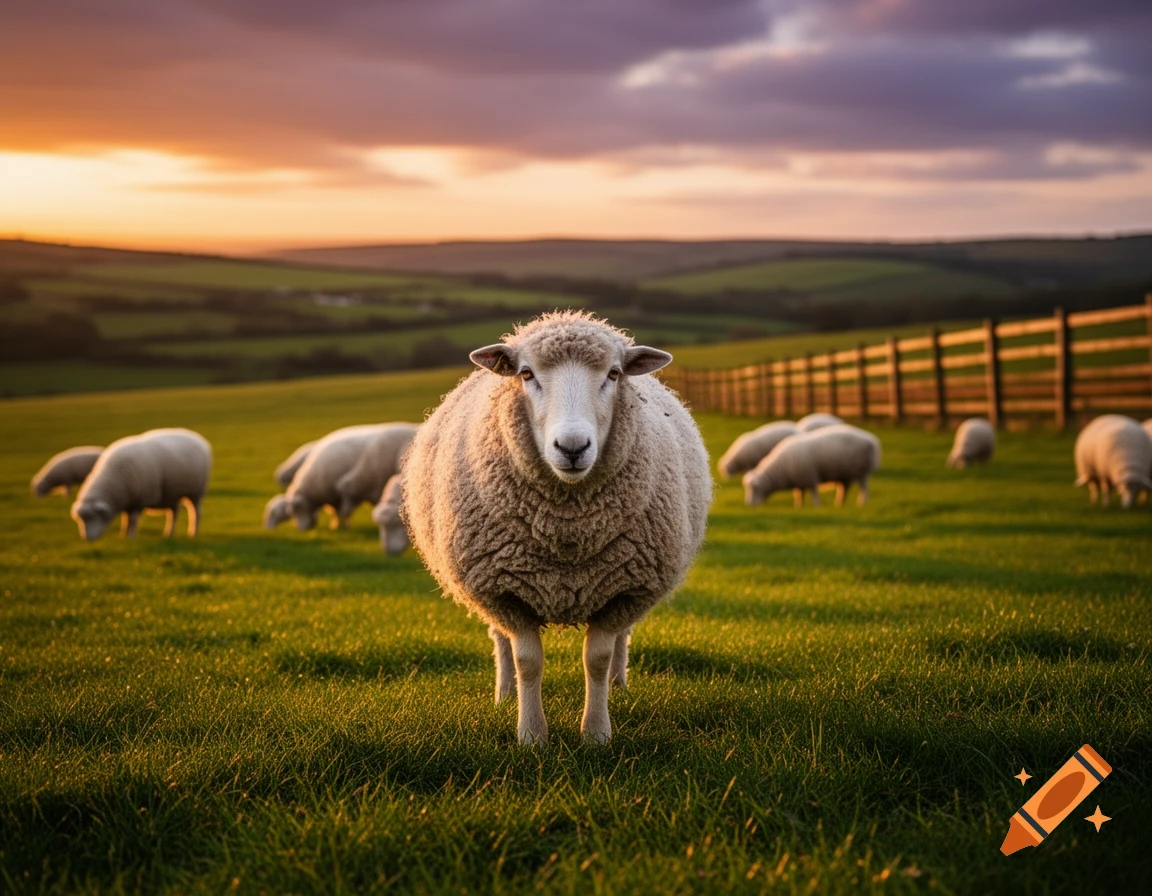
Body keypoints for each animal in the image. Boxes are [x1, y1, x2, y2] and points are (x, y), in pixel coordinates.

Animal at [70, 428, 211, 540]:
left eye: (92, 517)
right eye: (81, 519)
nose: (87, 538)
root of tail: (197, 437)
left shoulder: (139, 500)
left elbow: (132, 520)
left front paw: (131, 536)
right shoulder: (128, 500)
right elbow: (125, 519)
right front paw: (123, 535)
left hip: (196, 491)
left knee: (195, 513)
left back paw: (193, 532)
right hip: (173, 494)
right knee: (174, 514)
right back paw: (169, 533)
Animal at [264, 424, 394, 531]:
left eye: (296, 509)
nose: (301, 530)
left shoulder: (340, 494)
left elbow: (342, 512)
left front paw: (341, 526)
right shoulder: (334, 496)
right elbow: (337, 512)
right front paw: (338, 526)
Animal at [402, 310, 711, 744]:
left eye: (614, 374)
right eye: (526, 373)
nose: (572, 447)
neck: (567, 530)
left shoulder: (624, 589)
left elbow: (597, 658)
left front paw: (596, 733)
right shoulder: (502, 590)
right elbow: (527, 660)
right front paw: (532, 735)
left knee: (621, 640)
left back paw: (619, 685)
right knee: (499, 640)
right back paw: (504, 693)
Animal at [743, 423, 880, 508]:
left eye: (755, 488)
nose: (749, 504)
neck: (781, 469)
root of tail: (872, 441)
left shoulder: (809, 476)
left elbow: (813, 493)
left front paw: (816, 506)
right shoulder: (800, 480)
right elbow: (799, 494)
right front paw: (799, 506)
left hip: (861, 471)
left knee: (864, 488)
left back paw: (861, 503)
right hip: (845, 473)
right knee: (844, 489)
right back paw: (839, 504)